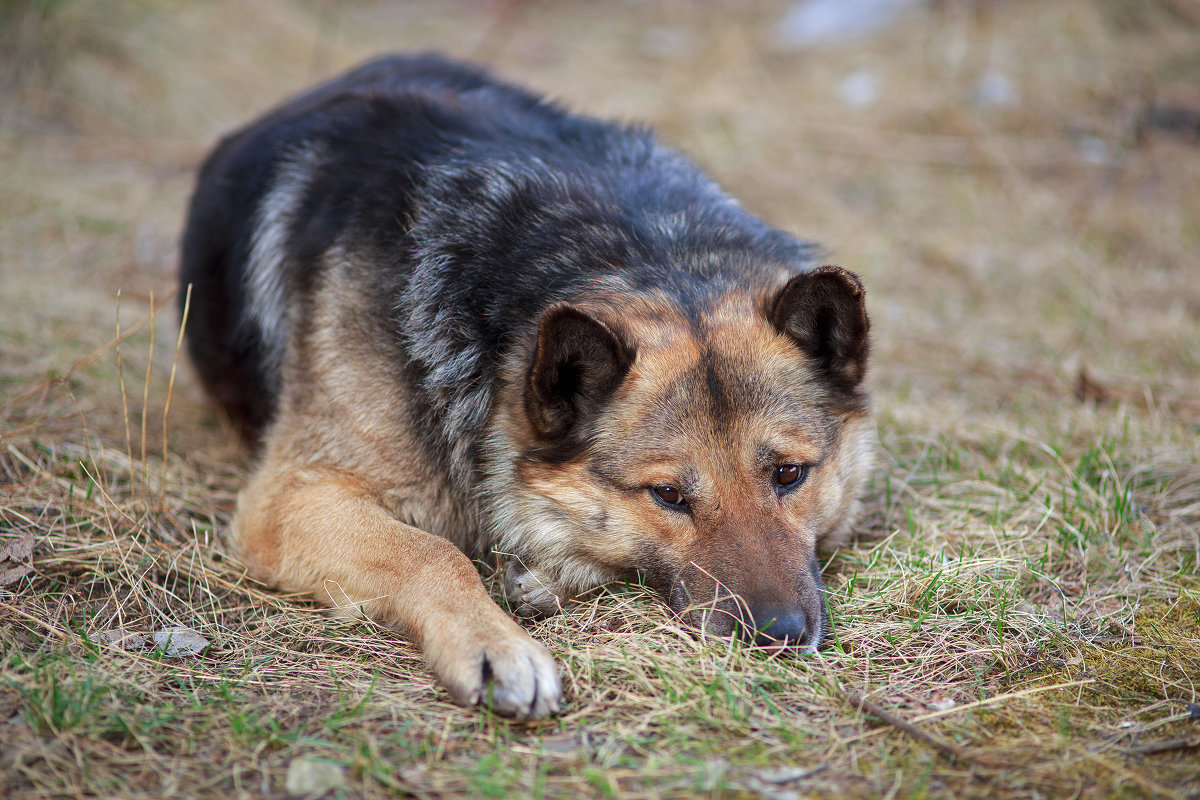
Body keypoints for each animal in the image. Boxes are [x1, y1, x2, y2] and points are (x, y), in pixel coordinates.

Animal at [177, 54, 873, 719]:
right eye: (668, 495)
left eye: (789, 474)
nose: (779, 636)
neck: (633, 251)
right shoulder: (290, 498)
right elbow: (431, 552)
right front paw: (493, 644)